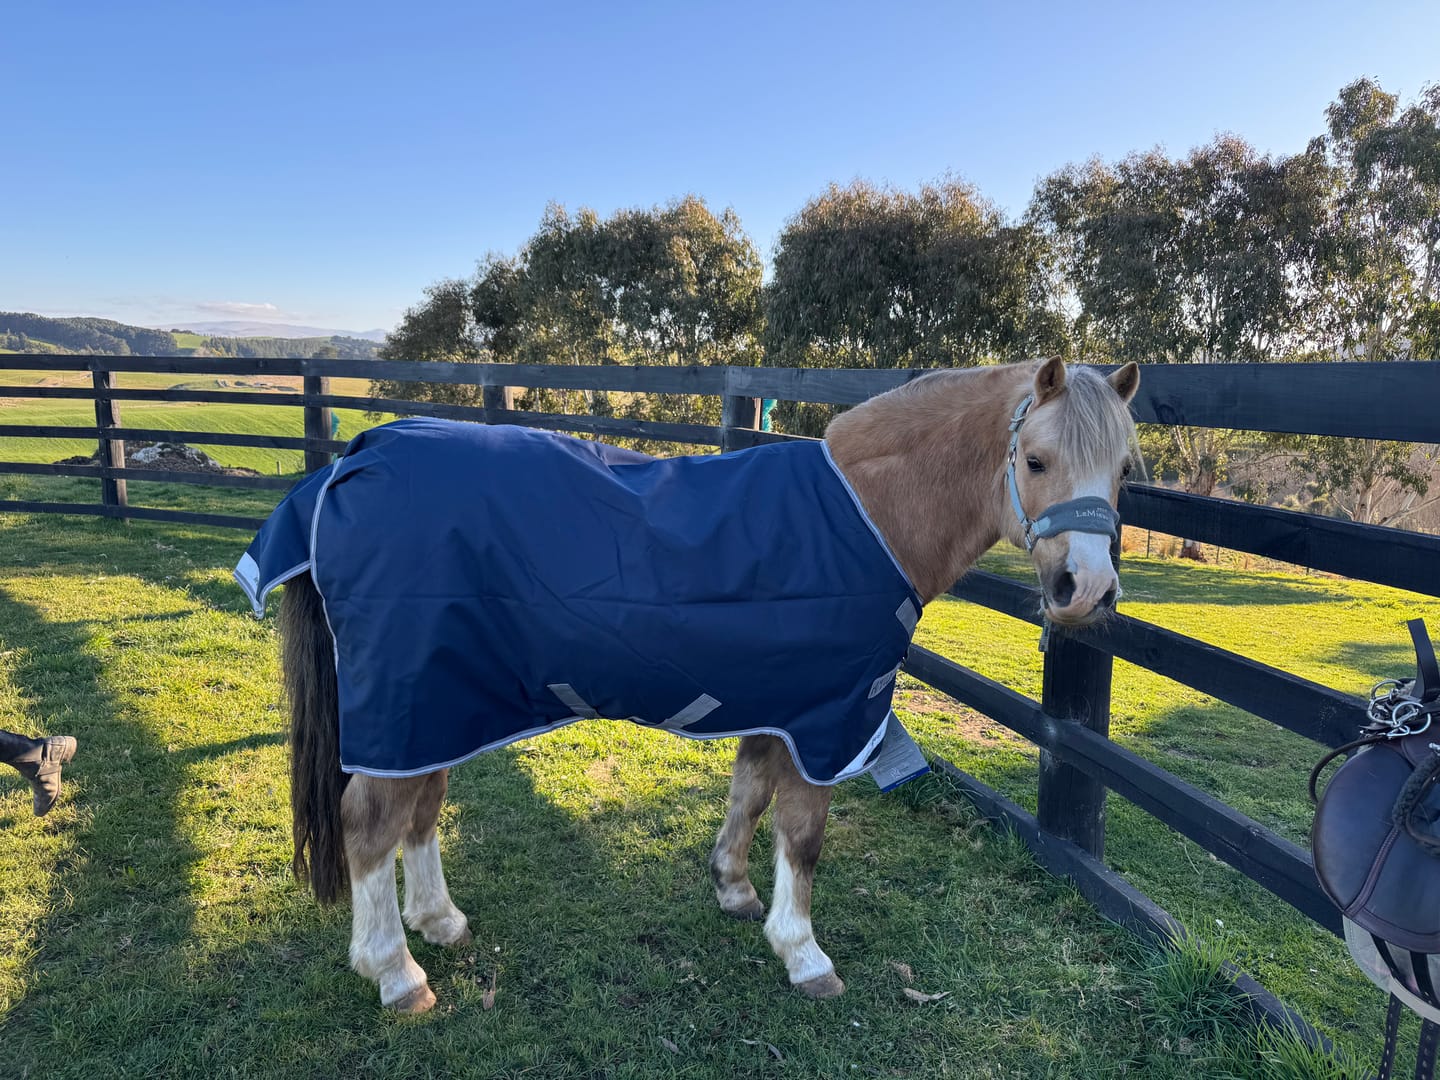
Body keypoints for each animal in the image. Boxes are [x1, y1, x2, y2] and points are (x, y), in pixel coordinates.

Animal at [267, 356, 1140, 1013]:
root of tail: (353, 459)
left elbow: (748, 794)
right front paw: (804, 954)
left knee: (421, 807)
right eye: (1035, 460)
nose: (1088, 590)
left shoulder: (780, 704)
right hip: (407, 700)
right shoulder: (827, 718)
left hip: (438, 704)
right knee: (369, 822)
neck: (866, 517)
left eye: (1122, 475)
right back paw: (394, 971)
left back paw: (439, 921)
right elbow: (803, 834)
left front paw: (734, 890)